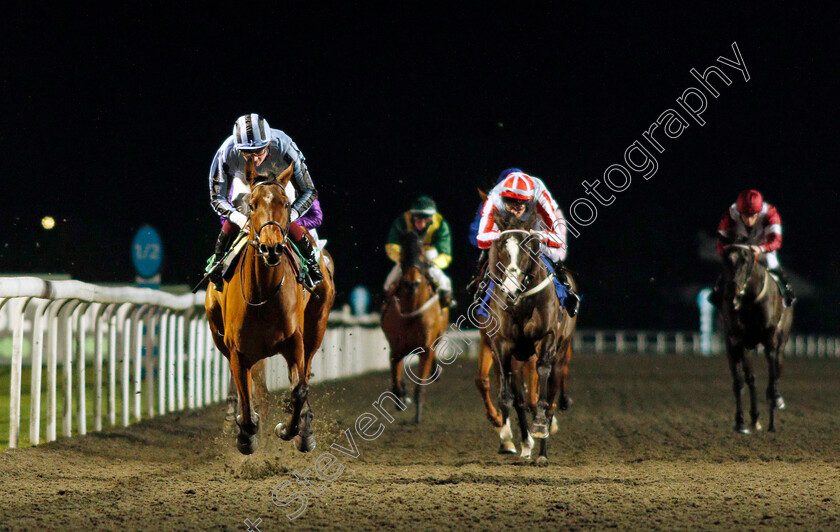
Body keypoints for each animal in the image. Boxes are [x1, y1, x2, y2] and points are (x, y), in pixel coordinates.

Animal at [378, 231, 446, 422]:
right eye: (403, 255)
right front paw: (401, 397)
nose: (411, 283)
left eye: (421, 253)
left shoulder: (426, 348)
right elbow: (396, 381)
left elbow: (420, 384)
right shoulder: (396, 349)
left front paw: (418, 412)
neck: (412, 311)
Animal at [482, 210, 576, 460]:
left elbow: (542, 377)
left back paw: (542, 451)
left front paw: (540, 426)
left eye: (528, 248)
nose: (511, 288)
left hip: (561, 353)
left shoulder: (547, 338)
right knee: (521, 398)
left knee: (551, 394)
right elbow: (506, 392)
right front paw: (506, 435)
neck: (521, 302)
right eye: (502, 247)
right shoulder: (501, 344)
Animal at [720, 239, 796, 434]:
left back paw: (775, 403)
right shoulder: (735, 343)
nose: (732, 294)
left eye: (746, 261)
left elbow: (772, 377)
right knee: (751, 379)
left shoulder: (770, 342)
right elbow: (740, 382)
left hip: (781, 342)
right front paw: (740, 422)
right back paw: (754, 418)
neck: (749, 301)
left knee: (776, 371)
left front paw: (772, 421)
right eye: (726, 262)